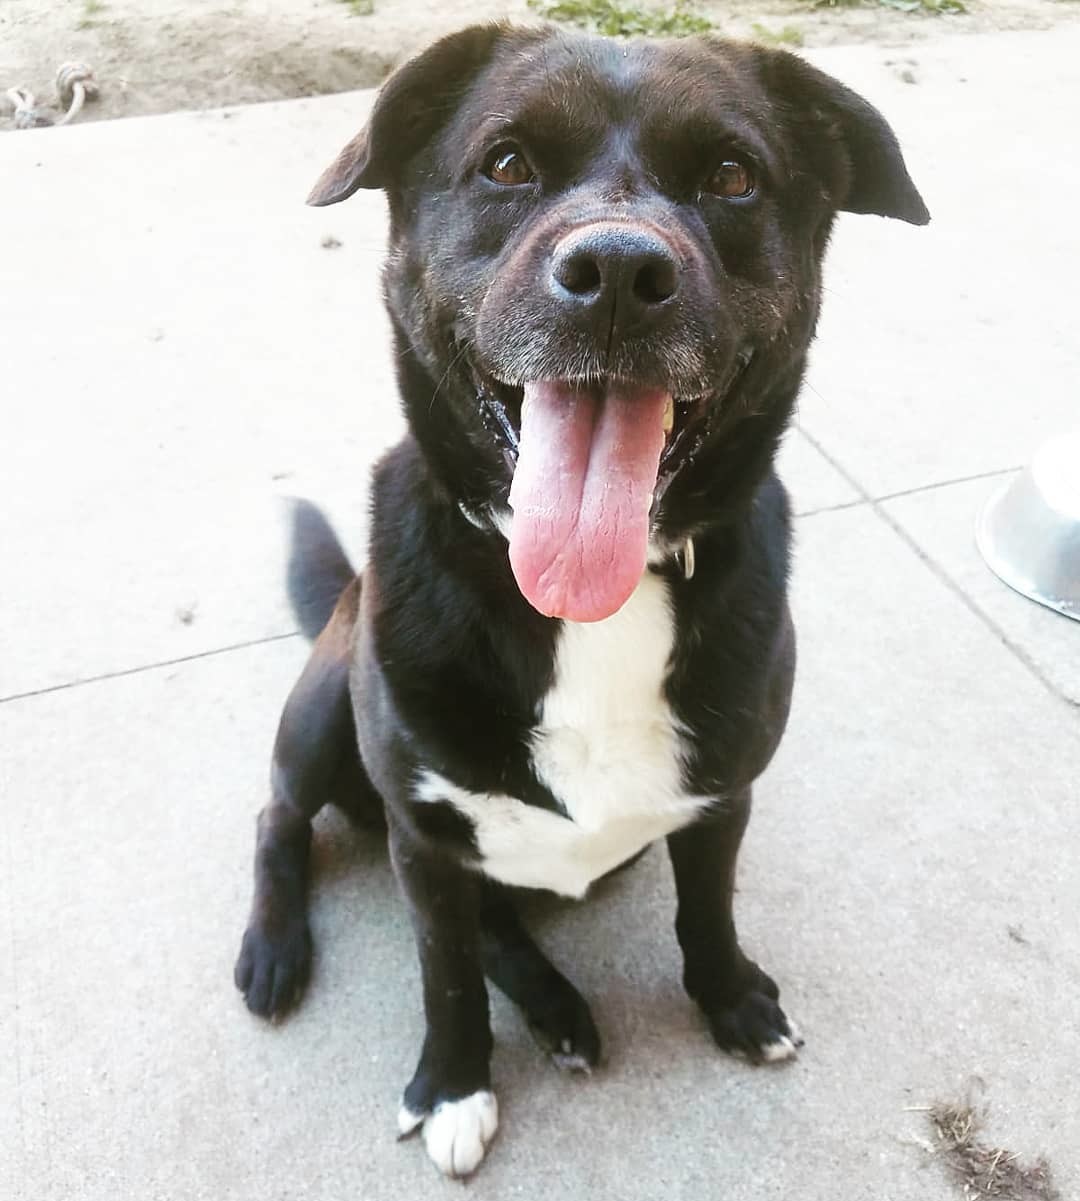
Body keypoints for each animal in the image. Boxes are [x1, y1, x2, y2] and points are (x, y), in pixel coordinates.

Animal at [231, 23, 922, 1176]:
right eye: (508, 163)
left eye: (732, 177)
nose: (616, 273)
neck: (595, 604)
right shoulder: (422, 837)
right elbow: (446, 972)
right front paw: (453, 1081)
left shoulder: (722, 796)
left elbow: (707, 910)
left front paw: (733, 998)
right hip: (325, 701)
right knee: (283, 818)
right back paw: (279, 945)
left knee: (502, 923)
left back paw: (556, 1004)